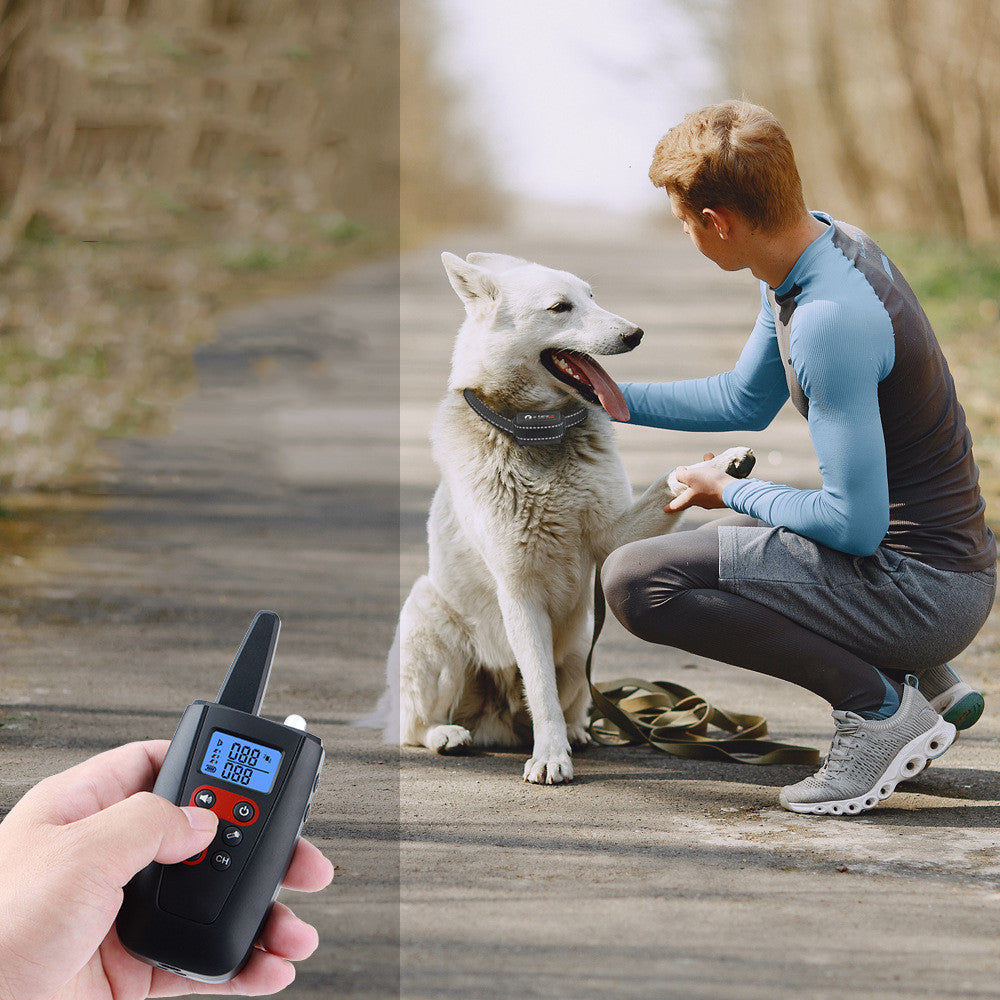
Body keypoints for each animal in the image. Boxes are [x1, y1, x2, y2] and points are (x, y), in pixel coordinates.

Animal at [370, 254, 752, 784]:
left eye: (592, 296)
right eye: (559, 307)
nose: (636, 334)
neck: (539, 433)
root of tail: (496, 721)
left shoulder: (610, 537)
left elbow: (668, 484)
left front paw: (721, 468)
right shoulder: (519, 590)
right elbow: (540, 689)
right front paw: (550, 756)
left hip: (578, 647)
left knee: (578, 700)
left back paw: (578, 731)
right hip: (428, 628)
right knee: (411, 725)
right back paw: (448, 735)